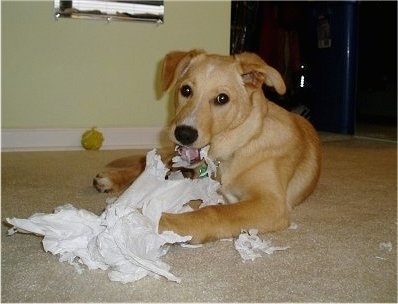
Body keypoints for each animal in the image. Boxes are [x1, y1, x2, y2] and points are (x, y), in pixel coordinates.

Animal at [92, 50, 320, 245]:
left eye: (222, 98)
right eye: (186, 90)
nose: (184, 134)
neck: (239, 145)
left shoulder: (271, 203)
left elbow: (212, 212)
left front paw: (157, 220)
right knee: (146, 165)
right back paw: (111, 178)